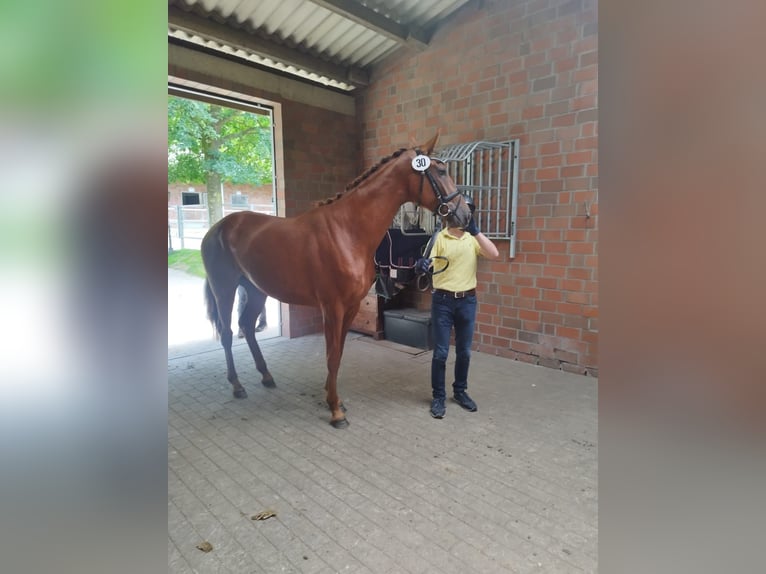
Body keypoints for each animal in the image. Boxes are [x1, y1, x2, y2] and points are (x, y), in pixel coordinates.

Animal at [201, 132, 472, 428]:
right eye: (441, 171)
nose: (465, 214)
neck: (347, 231)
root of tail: (217, 228)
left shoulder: (351, 307)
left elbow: (339, 354)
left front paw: (336, 400)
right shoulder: (332, 308)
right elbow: (331, 356)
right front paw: (335, 411)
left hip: (256, 289)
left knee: (247, 327)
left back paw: (266, 376)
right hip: (224, 289)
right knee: (228, 333)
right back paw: (237, 386)